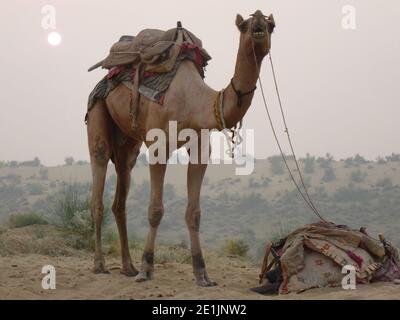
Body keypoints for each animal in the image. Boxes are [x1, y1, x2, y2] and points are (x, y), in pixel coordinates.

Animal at [86, 10, 276, 286]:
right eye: (244, 26)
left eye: (271, 26)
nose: (260, 21)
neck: (193, 101)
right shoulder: (158, 146)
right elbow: (155, 210)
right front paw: (147, 268)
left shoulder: (200, 149)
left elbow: (194, 212)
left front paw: (202, 273)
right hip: (98, 108)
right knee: (98, 172)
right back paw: (100, 264)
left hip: (128, 141)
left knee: (121, 187)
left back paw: (127, 266)